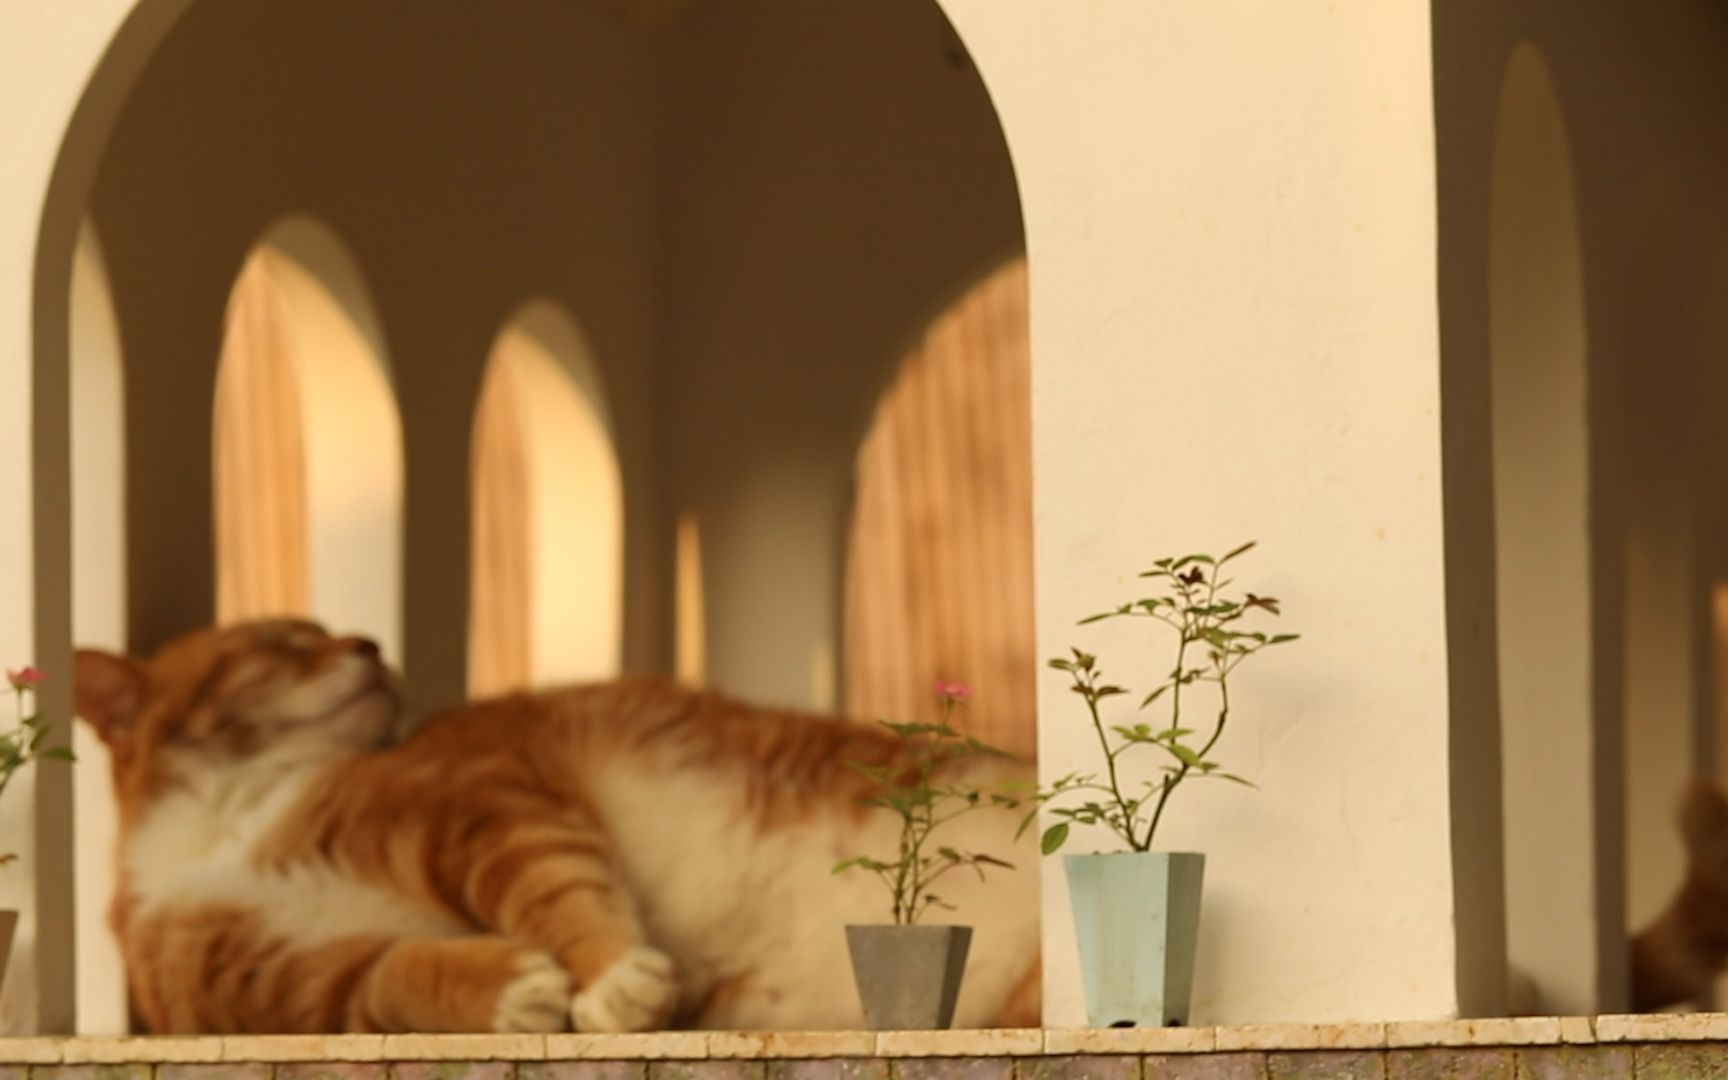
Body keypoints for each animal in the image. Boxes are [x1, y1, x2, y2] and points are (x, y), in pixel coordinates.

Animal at [77, 615, 1036, 1029]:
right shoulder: (297, 994)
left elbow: (555, 891)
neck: (227, 832)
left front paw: (612, 981)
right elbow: (393, 975)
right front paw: (512, 992)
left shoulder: (479, 805)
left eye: (325, 629)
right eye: (278, 642)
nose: (369, 644)